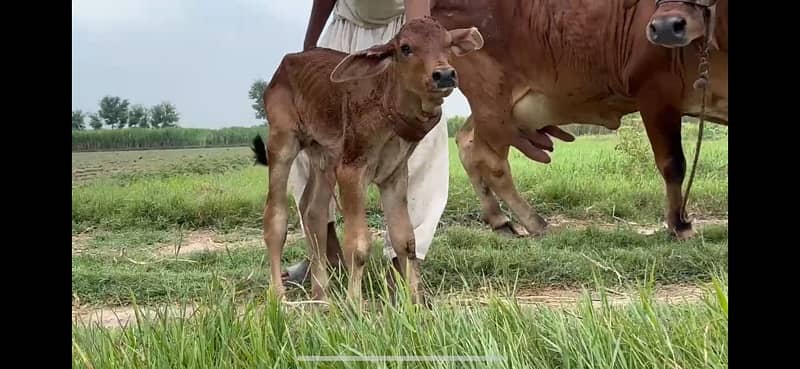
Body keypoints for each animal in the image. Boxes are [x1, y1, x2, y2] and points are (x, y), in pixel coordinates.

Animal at [253, 17, 484, 304]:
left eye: (449, 44)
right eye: (405, 48)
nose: (444, 75)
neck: (386, 102)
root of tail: (286, 64)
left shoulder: (394, 175)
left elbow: (405, 239)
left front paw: (414, 301)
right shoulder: (352, 171)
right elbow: (358, 245)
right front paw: (354, 304)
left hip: (324, 157)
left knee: (313, 213)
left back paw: (321, 296)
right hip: (283, 142)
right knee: (276, 218)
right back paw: (279, 295)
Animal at [434, 0, 728, 239]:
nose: (666, 27)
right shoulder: (655, 92)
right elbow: (673, 164)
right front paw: (679, 225)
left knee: (467, 144)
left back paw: (500, 220)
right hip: (491, 101)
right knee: (490, 161)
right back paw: (533, 222)